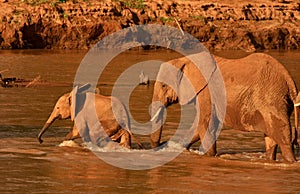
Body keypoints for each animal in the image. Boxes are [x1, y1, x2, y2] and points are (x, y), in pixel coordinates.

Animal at [152, 52, 300, 163]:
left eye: (164, 85)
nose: (160, 144)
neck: (186, 60)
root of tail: (290, 82)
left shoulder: (206, 93)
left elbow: (205, 124)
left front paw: (209, 156)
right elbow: (198, 127)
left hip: (272, 101)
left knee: (284, 140)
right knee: (271, 139)